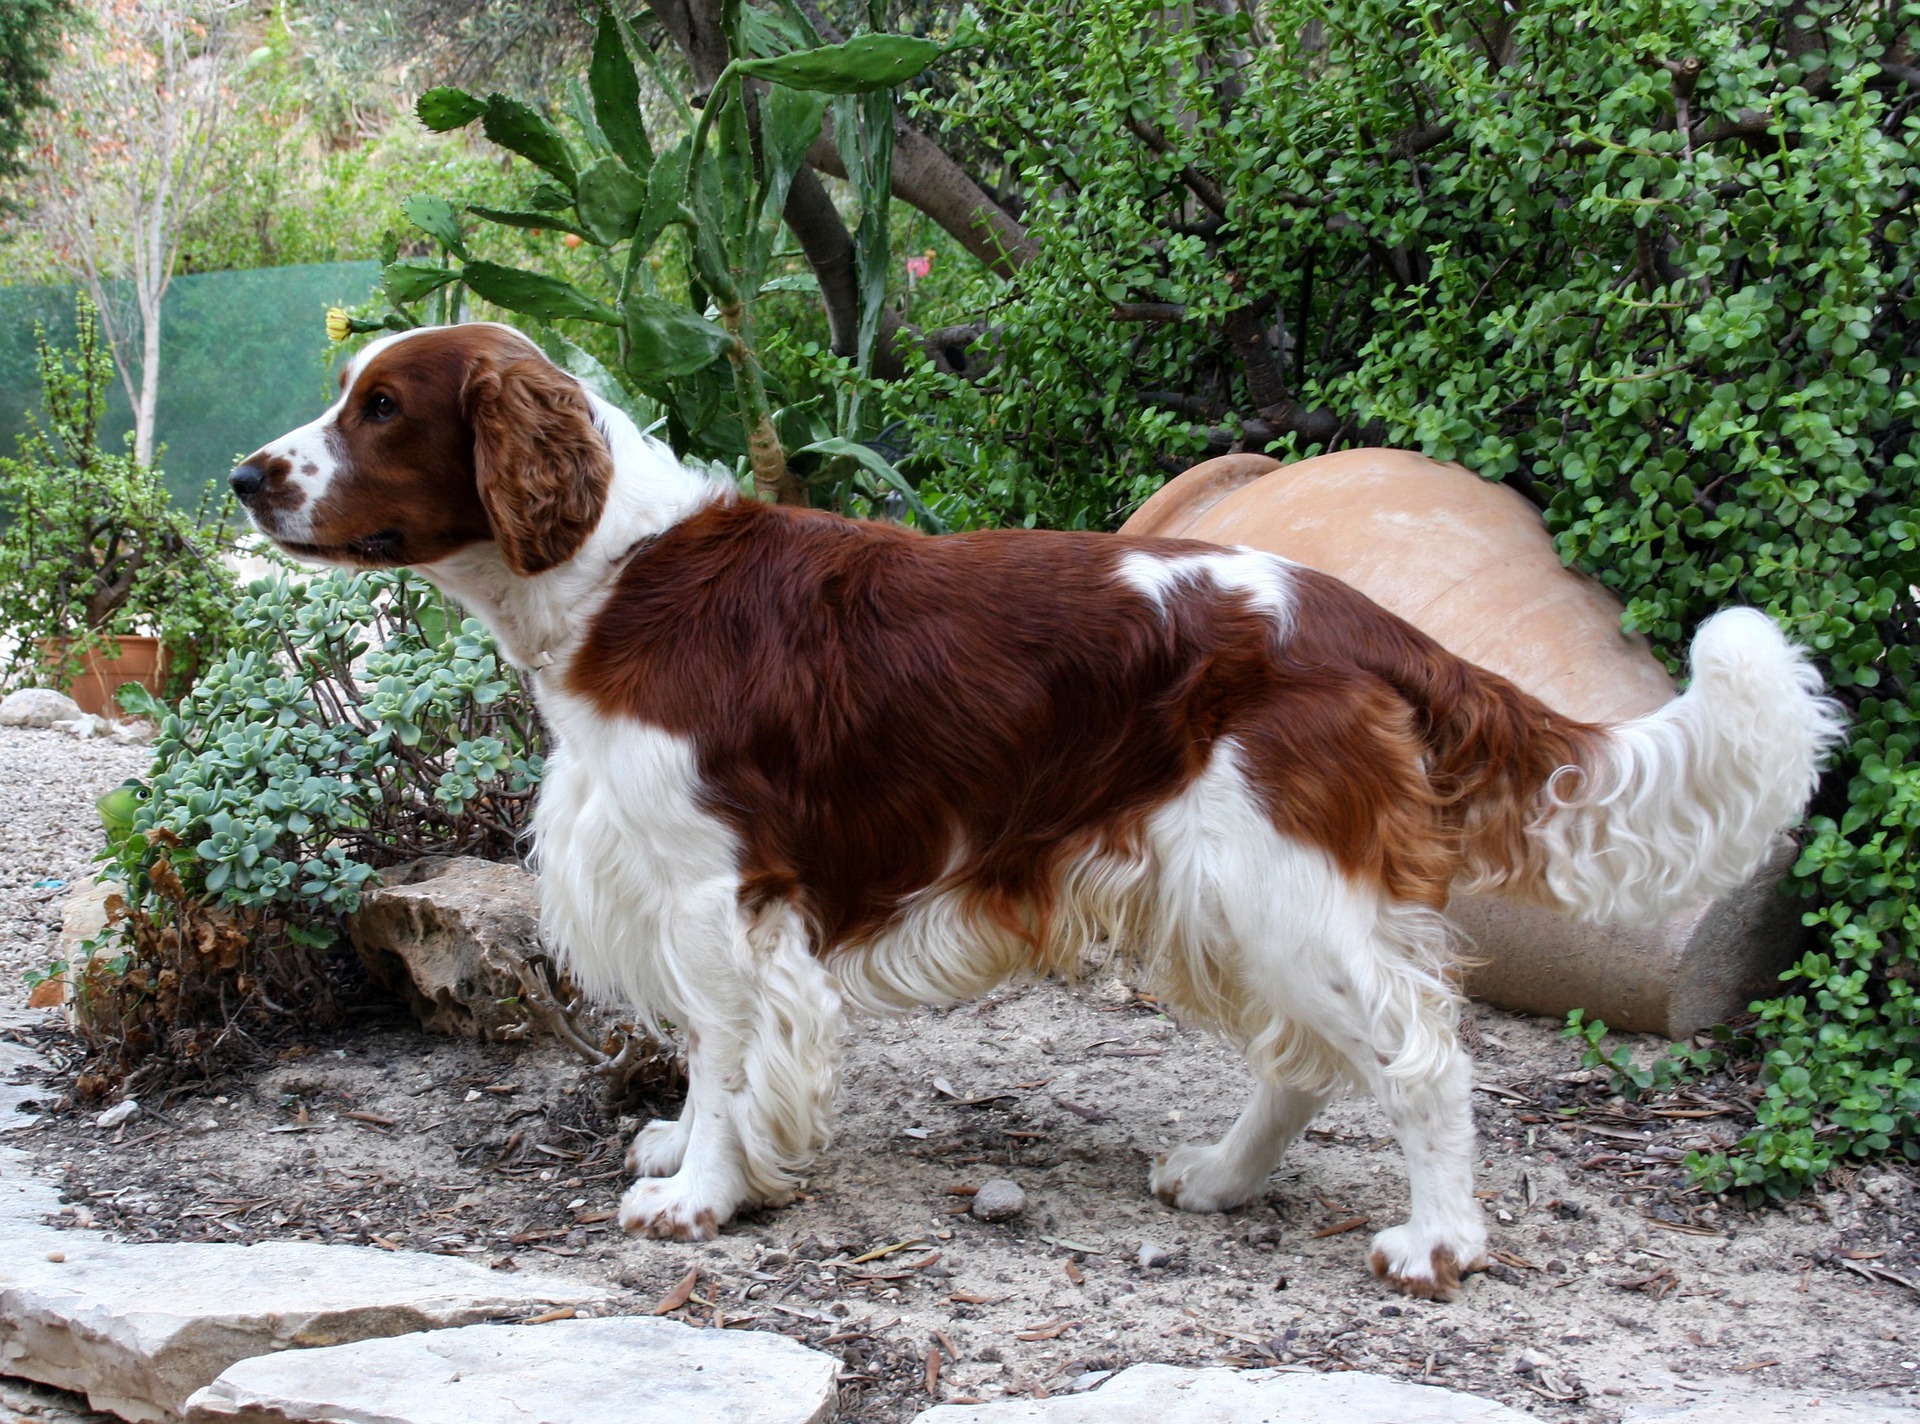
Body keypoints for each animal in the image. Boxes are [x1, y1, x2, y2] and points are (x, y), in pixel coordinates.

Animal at [228, 326, 1843, 1305]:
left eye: (381, 408)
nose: (246, 474)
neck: (621, 577)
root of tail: (1360, 616)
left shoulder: (713, 893)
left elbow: (725, 1050)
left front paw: (698, 1191)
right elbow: (706, 1053)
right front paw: (695, 1149)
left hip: (1275, 881)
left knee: (1418, 1053)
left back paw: (1437, 1240)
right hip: (1229, 891)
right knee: (1309, 1058)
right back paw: (1221, 1179)